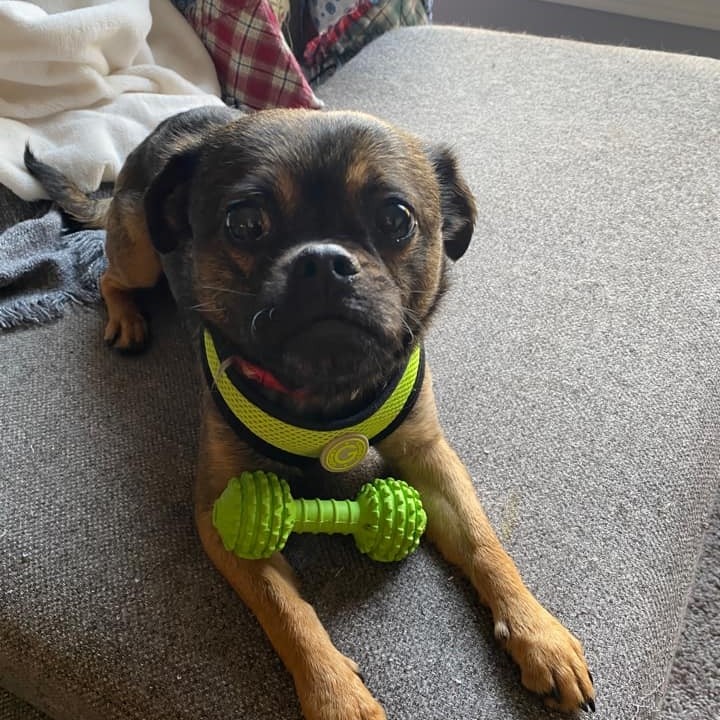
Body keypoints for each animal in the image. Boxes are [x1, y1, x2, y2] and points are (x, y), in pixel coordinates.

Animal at [26, 105, 595, 719]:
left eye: (396, 219)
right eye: (245, 223)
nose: (322, 260)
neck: (327, 392)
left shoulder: (430, 459)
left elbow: (486, 545)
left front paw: (539, 634)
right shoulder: (222, 512)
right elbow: (288, 614)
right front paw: (336, 695)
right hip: (139, 251)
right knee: (109, 276)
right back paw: (126, 319)